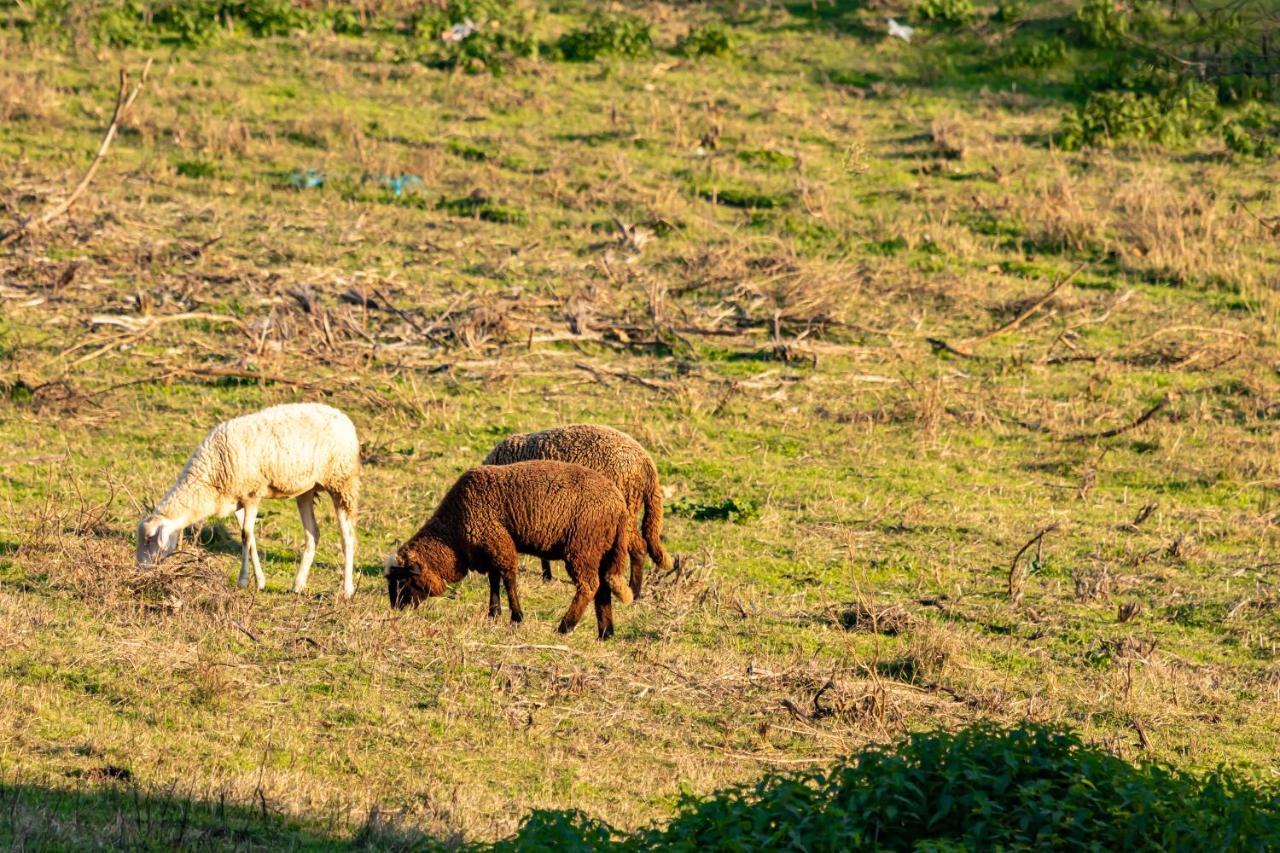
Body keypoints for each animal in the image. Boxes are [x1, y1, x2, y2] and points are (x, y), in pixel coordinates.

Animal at [136, 399, 360, 594]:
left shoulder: (253, 494)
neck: (210, 476)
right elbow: (250, 537)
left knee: (347, 535)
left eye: (149, 540)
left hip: (342, 481)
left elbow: (245, 535)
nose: (140, 570)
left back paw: (346, 589)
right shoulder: (238, 501)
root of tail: (341, 416)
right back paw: (298, 585)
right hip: (306, 490)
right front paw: (260, 582)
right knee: (313, 533)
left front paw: (243, 580)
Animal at [384, 458, 634, 637]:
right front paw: (493, 614)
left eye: (403, 580)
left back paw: (565, 627)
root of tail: (619, 505)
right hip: (600, 549)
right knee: (603, 588)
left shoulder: (497, 542)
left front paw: (516, 617)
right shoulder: (488, 549)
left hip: (582, 547)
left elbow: (508, 578)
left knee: (589, 586)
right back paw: (605, 632)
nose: (396, 610)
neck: (451, 535)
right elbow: (494, 580)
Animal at [483, 420, 675, 594]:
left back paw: (634, 591)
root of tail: (646, 463)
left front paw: (546, 576)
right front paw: (547, 576)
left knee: (638, 547)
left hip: (625, 507)